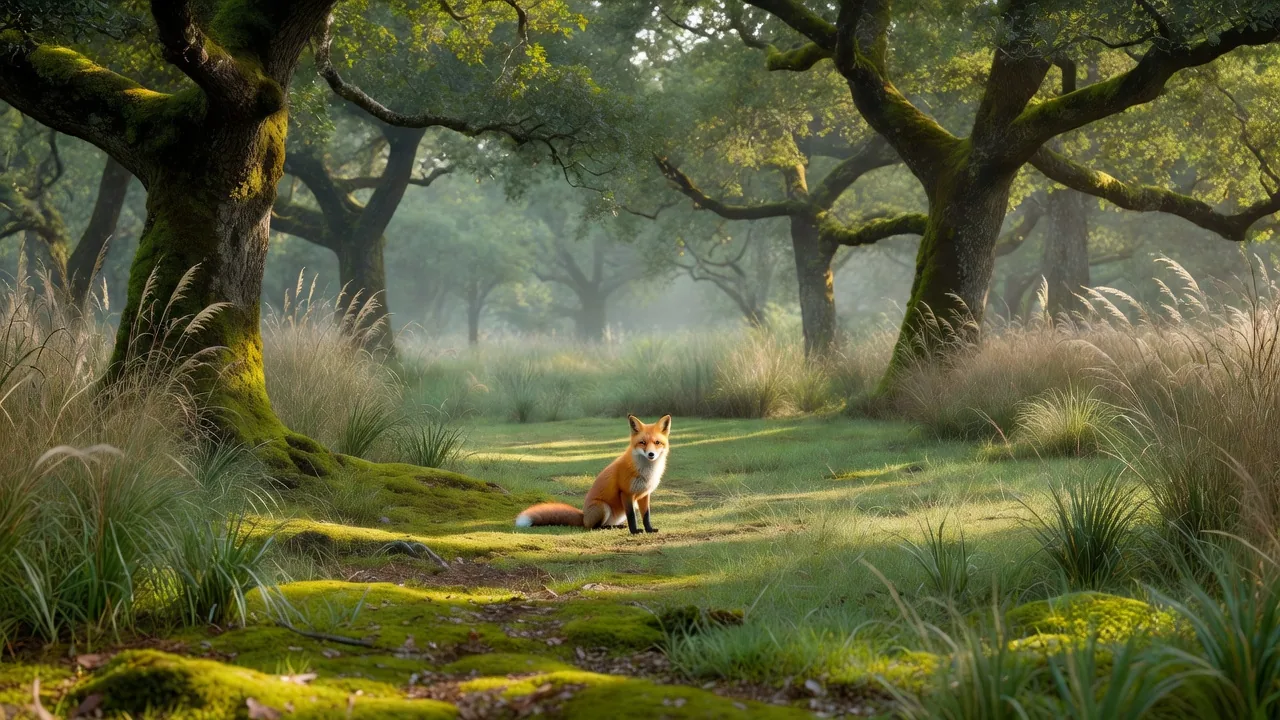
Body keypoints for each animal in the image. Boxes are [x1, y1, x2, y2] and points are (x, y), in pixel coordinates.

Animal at [515, 414, 671, 535]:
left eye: (657, 442)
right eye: (642, 442)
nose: (651, 454)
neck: (646, 472)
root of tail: (583, 516)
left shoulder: (644, 494)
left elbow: (646, 516)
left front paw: (649, 529)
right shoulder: (626, 492)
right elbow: (632, 516)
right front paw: (634, 531)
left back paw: (615, 526)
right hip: (603, 507)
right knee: (594, 527)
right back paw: (606, 528)